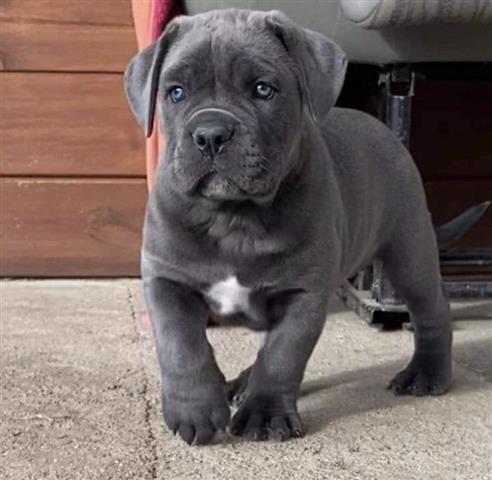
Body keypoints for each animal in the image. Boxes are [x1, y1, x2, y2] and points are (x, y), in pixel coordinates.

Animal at [124, 9, 476, 446]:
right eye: (175, 92)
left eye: (263, 89)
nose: (210, 134)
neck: (234, 217)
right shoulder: (166, 280)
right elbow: (182, 346)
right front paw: (197, 410)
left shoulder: (303, 293)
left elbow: (283, 356)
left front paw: (265, 414)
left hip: (409, 249)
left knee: (432, 308)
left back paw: (426, 373)